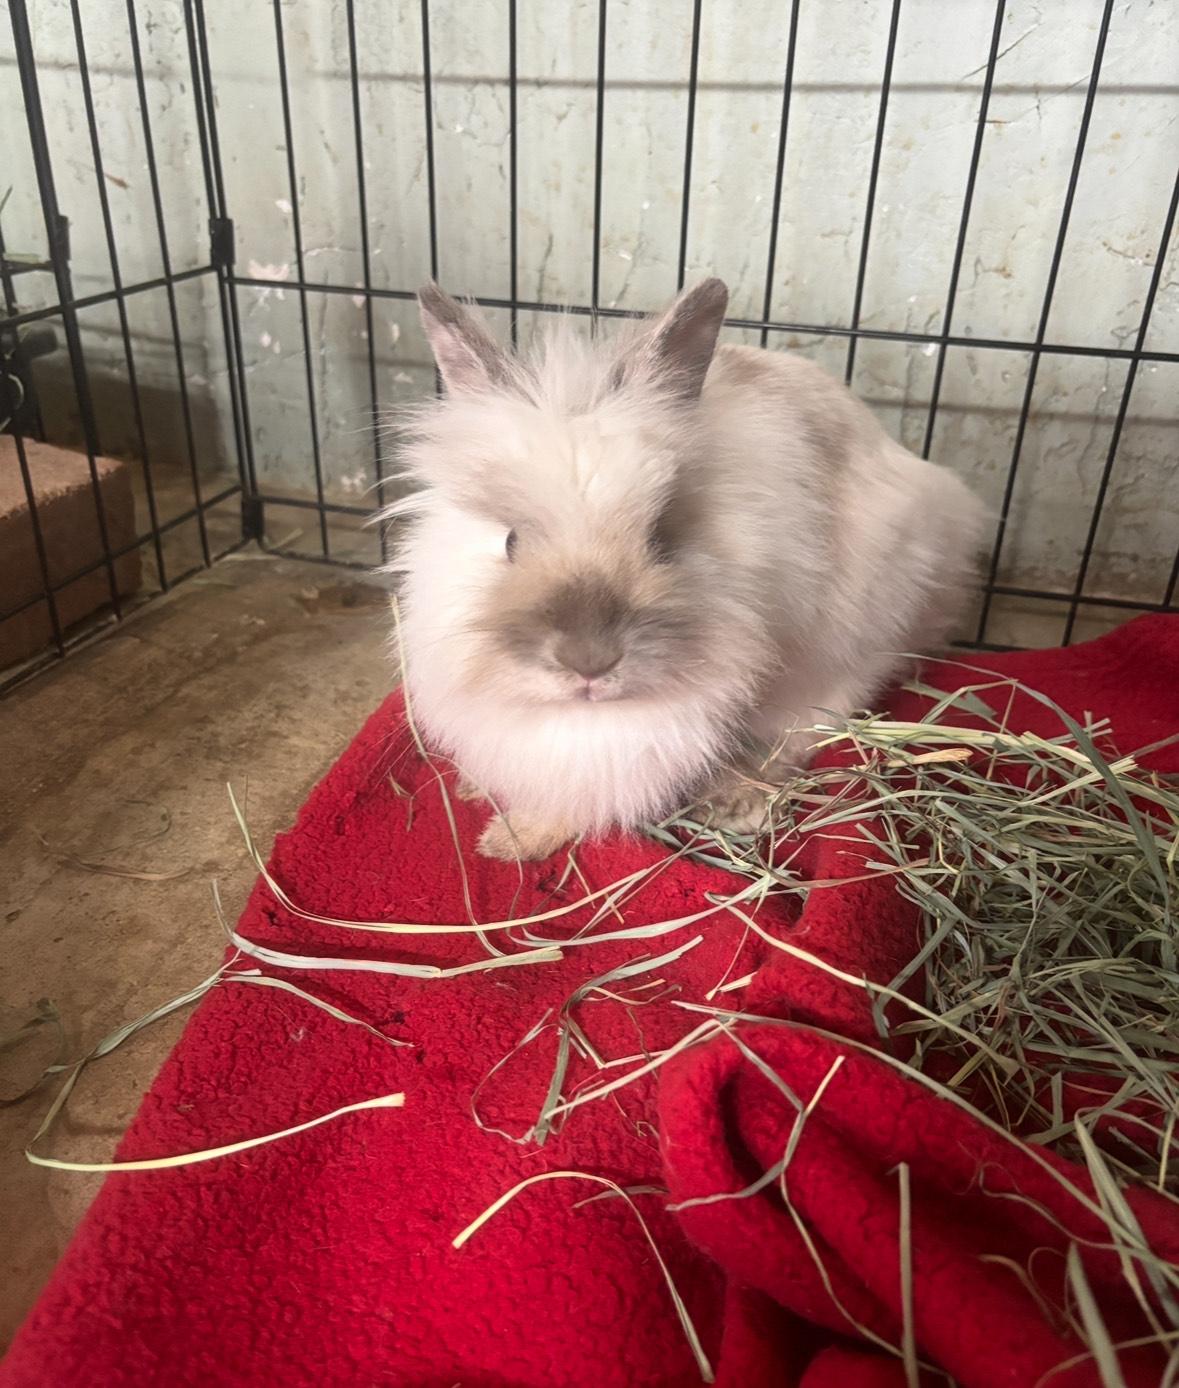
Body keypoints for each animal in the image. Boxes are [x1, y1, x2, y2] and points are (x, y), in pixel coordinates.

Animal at [384, 277, 988, 861]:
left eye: (660, 539)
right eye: (511, 542)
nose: (590, 661)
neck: (577, 716)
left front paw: (513, 839)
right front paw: (479, 793)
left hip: (857, 634)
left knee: (804, 729)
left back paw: (737, 800)